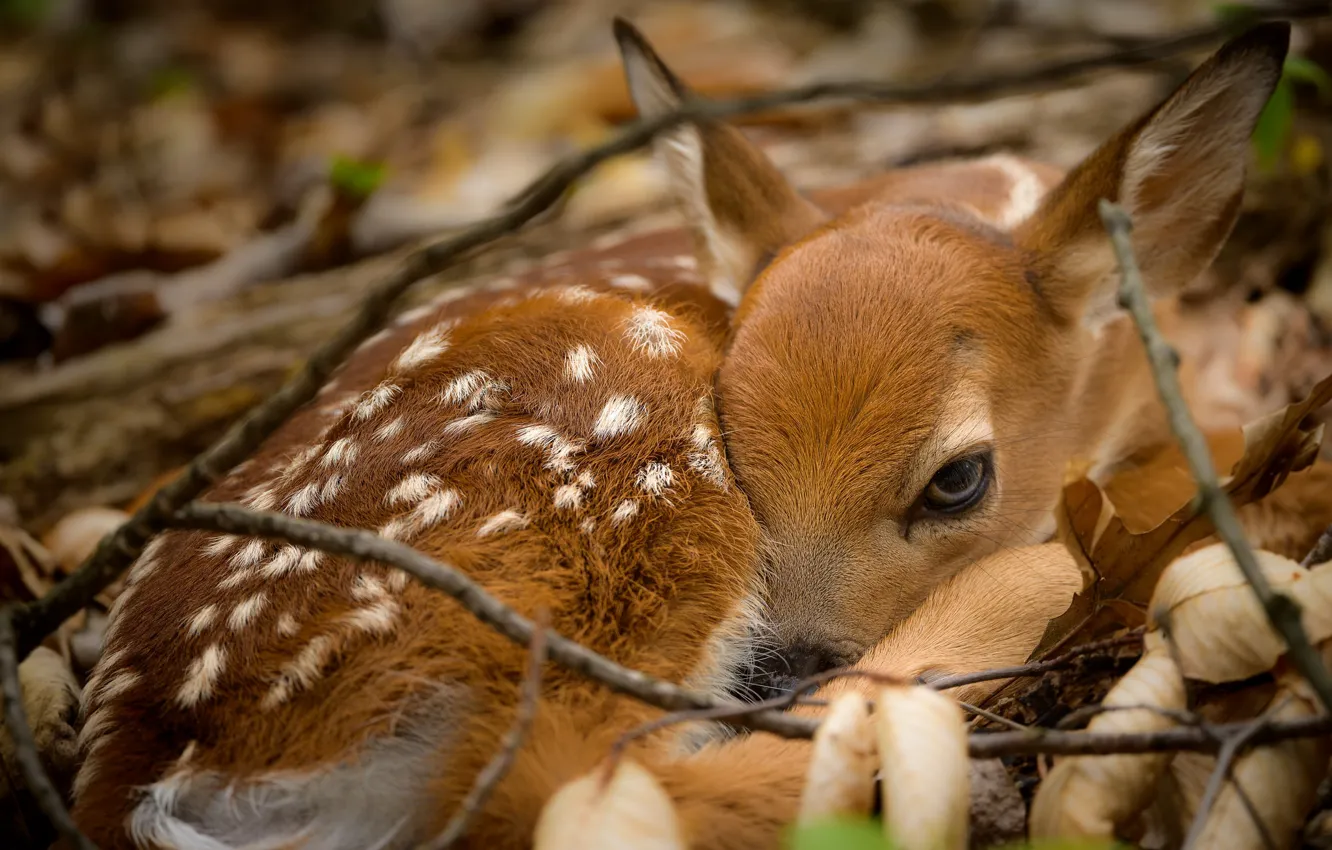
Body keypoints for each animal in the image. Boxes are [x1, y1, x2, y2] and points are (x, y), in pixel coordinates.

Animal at [65, 18, 1290, 850]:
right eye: (744, 448)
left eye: (958, 479)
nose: (783, 670)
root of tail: (136, 765)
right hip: (620, 491)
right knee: (578, 787)